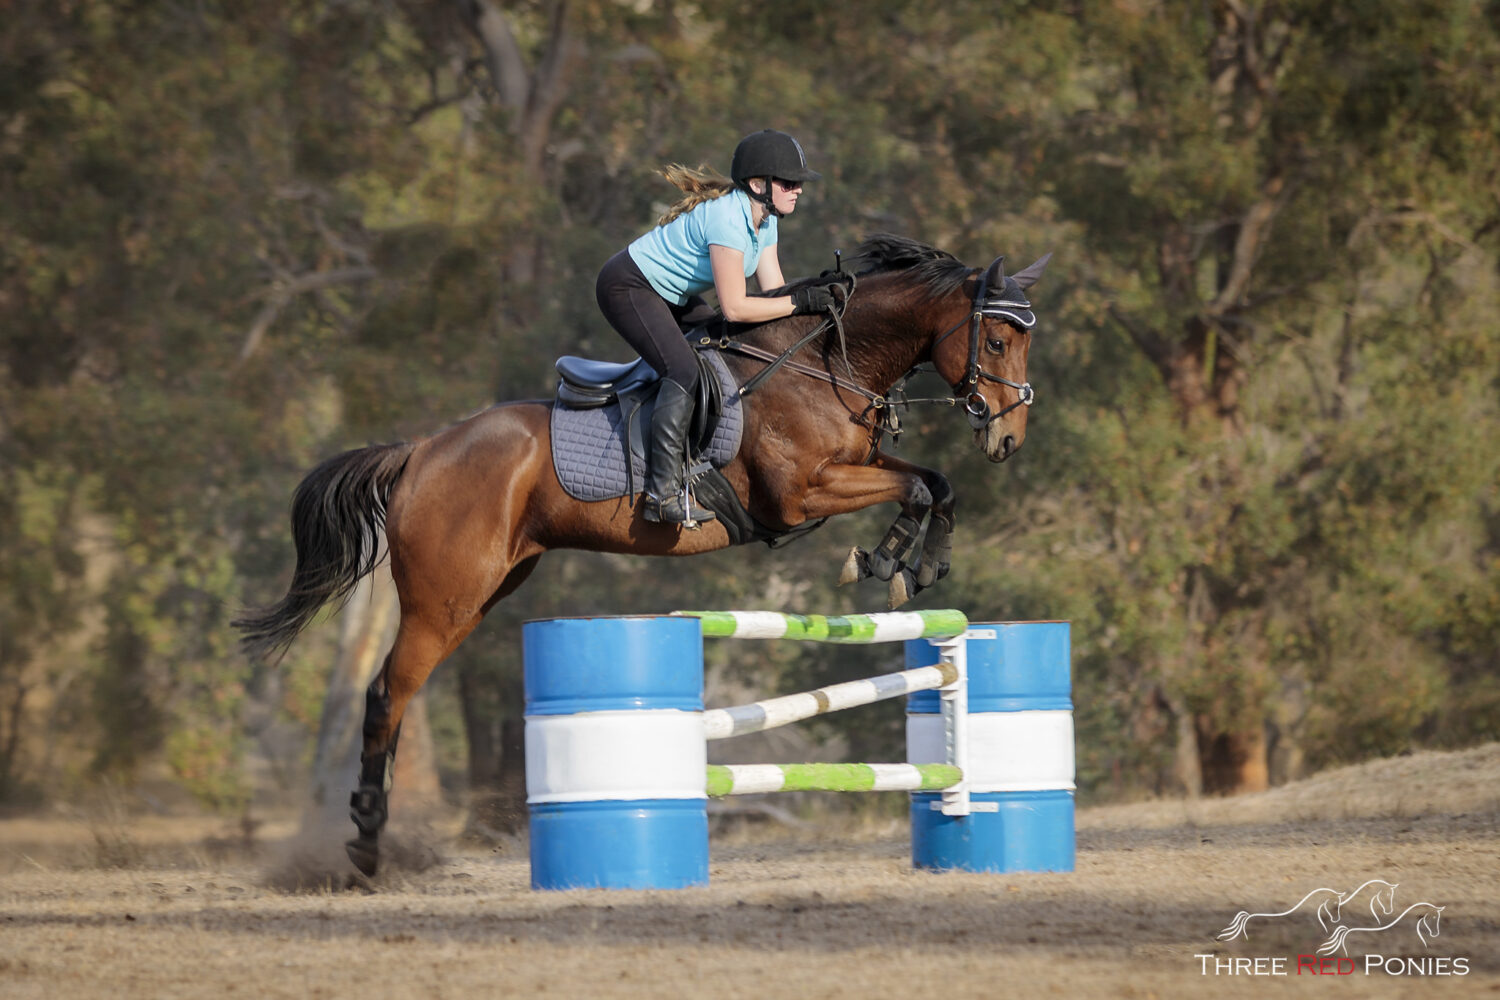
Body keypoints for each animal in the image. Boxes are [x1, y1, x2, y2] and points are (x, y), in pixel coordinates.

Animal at [237, 235, 1056, 875]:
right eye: (994, 340)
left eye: (1022, 341)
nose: (1009, 438)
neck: (825, 362)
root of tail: (420, 451)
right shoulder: (800, 496)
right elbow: (915, 490)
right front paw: (885, 562)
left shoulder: (852, 472)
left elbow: (935, 483)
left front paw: (922, 565)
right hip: (445, 599)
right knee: (385, 695)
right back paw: (366, 844)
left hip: (485, 591)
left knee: (399, 697)